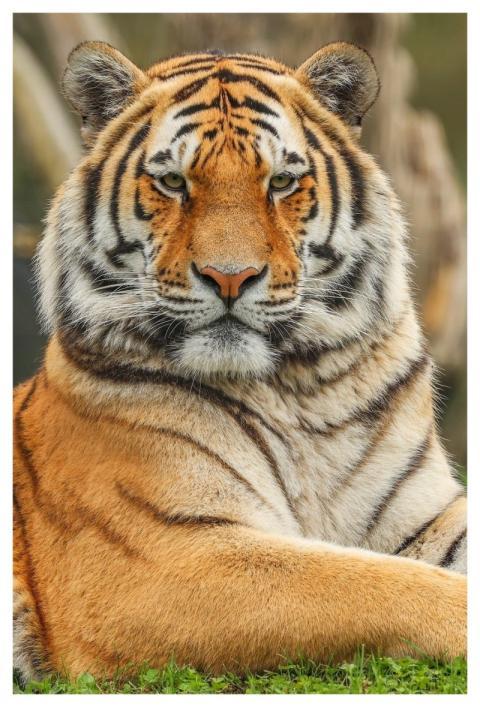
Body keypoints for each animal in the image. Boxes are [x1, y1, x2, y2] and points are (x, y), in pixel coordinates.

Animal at [14, 40, 467, 683]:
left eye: (281, 182)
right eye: (172, 182)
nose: (230, 277)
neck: (300, 389)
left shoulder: (427, 514)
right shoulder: (154, 559)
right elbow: (370, 584)